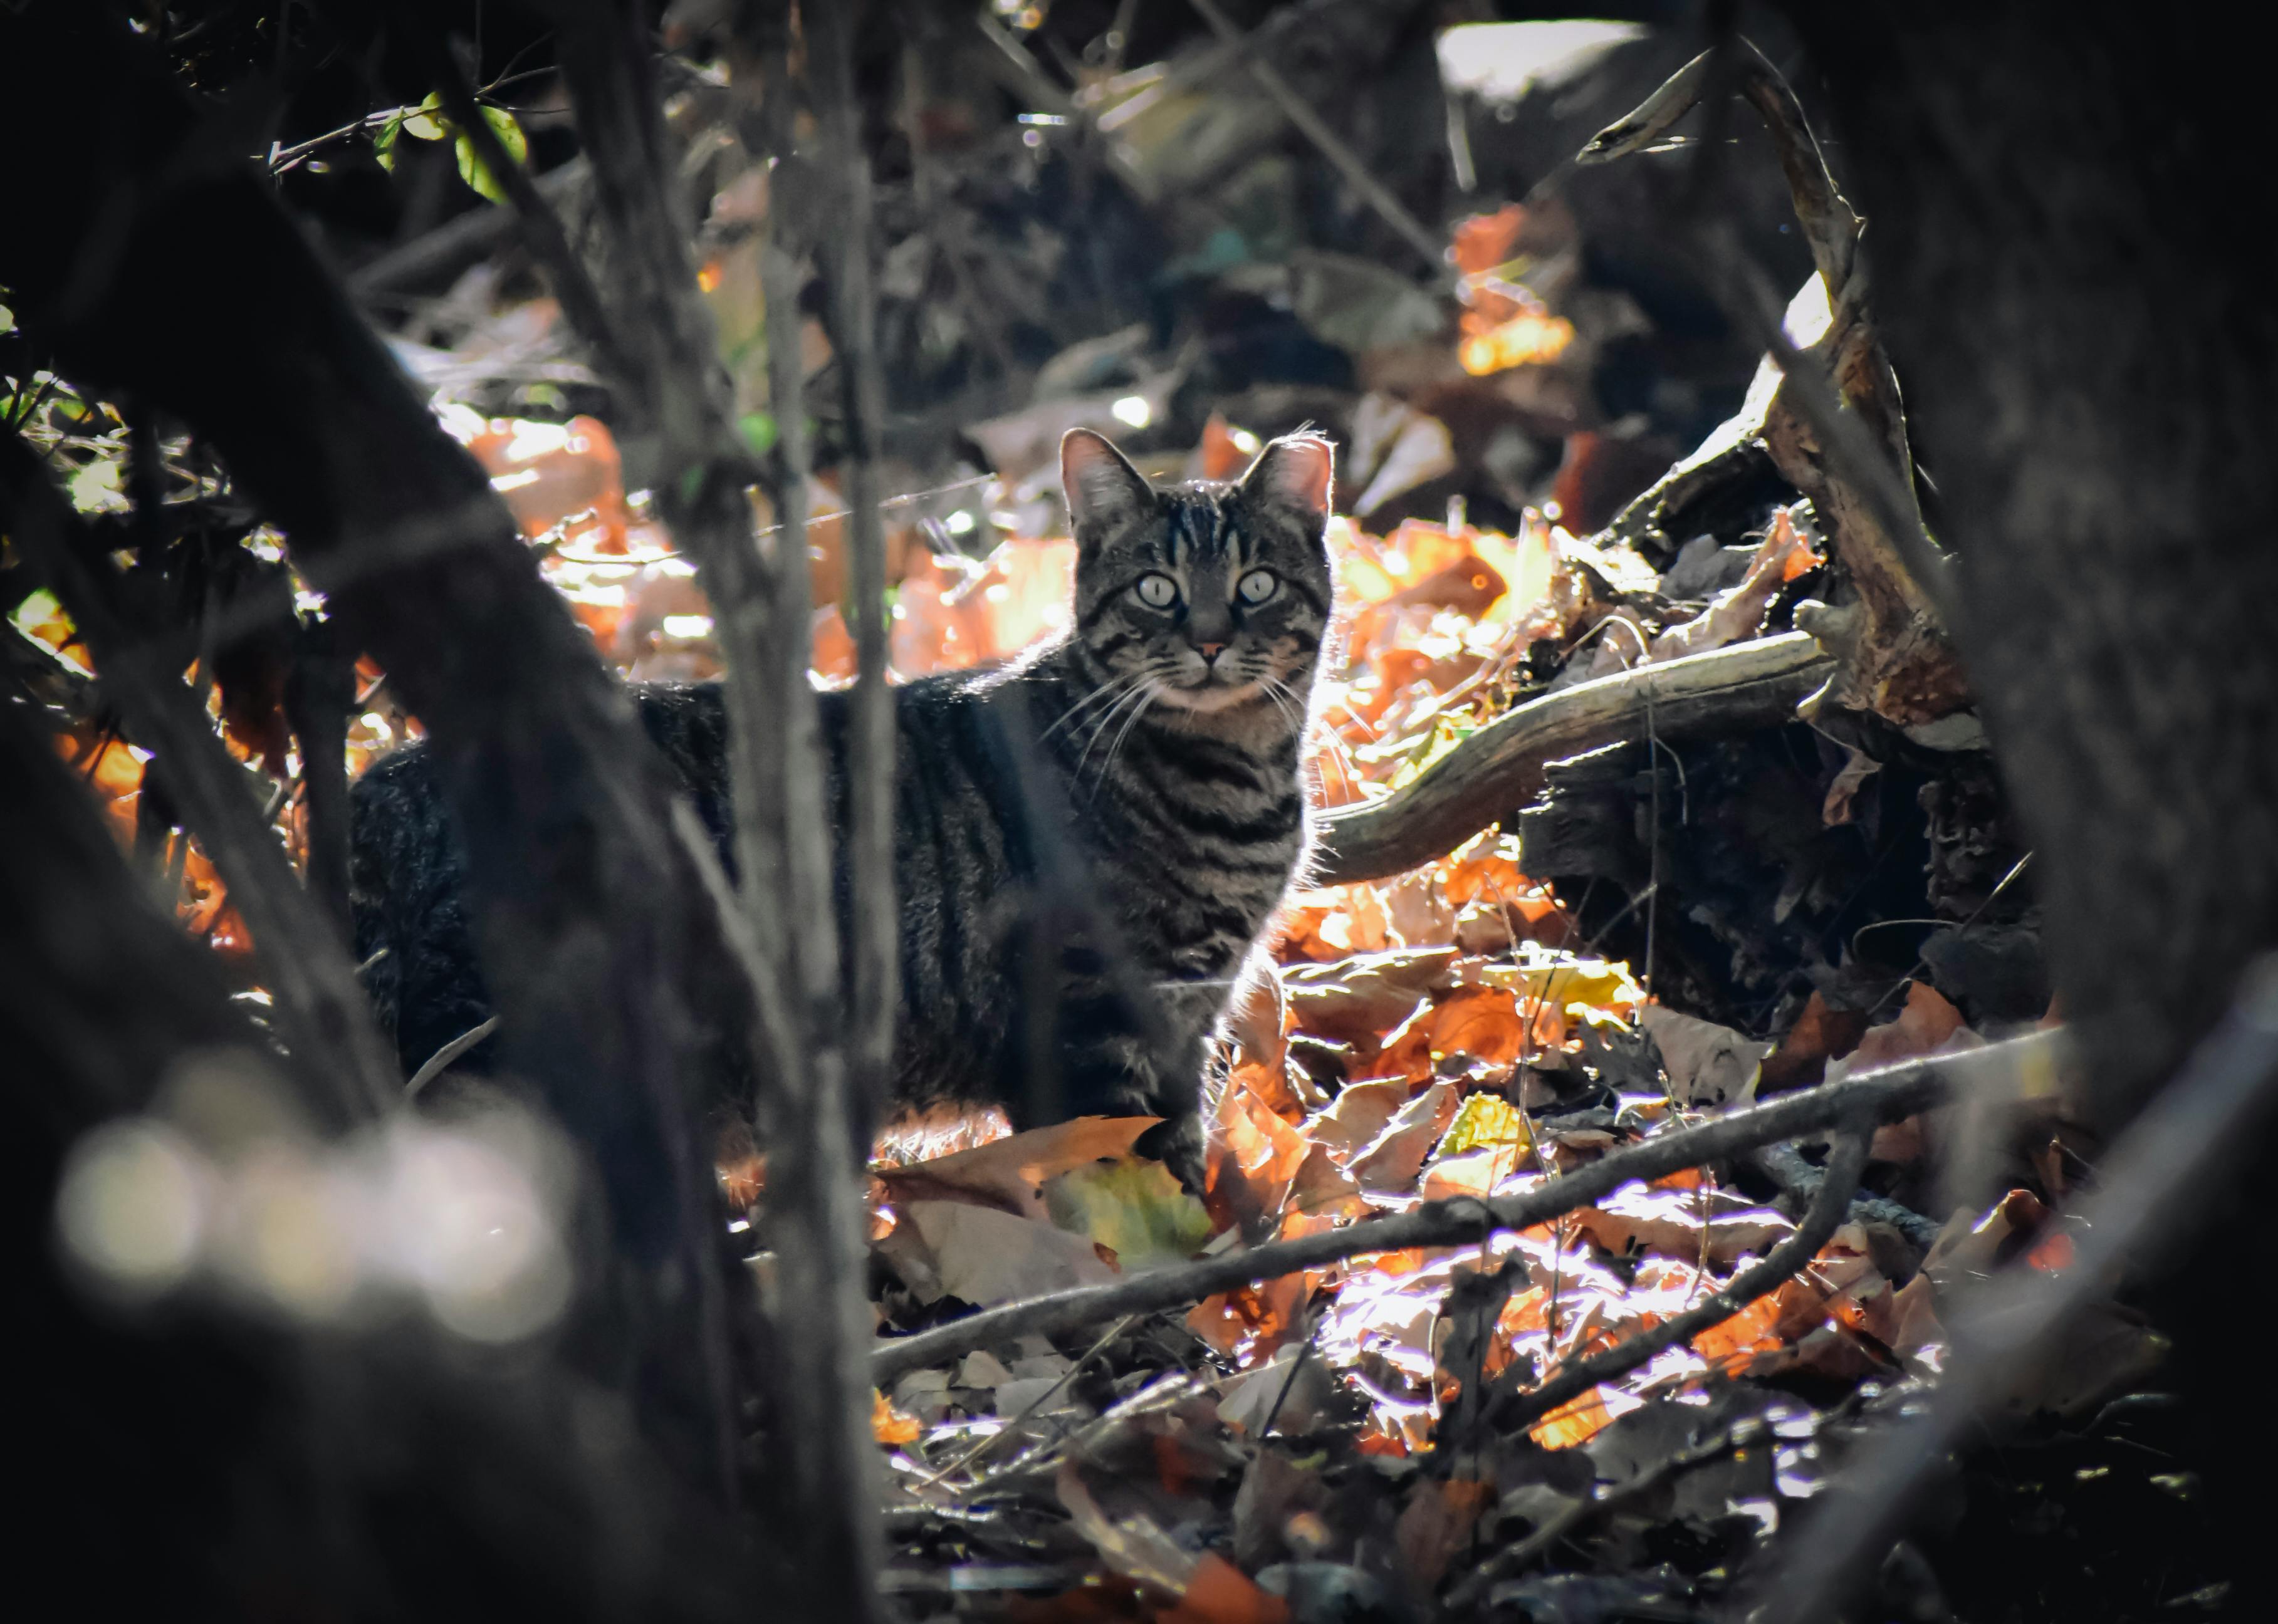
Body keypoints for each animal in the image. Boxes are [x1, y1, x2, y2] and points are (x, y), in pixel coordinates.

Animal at [346, 424, 1330, 1175]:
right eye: (1157, 590)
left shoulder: (1190, 1014)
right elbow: (1120, 1176)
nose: (1210, 641)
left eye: (1255, 585)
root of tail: (375, 788)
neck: (1235, 780)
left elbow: (1182, 1138)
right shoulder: (1090, 1021)